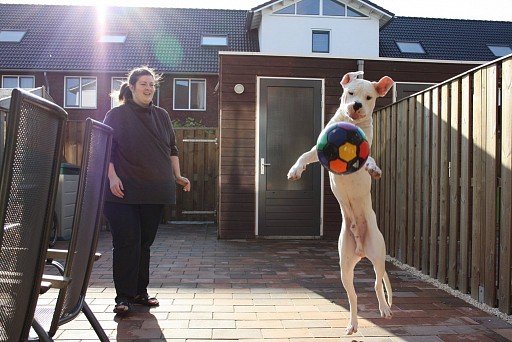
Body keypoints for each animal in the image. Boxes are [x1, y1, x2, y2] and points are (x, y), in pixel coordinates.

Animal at [288, 71, 396, 336]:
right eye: (350, 93)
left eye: (368, 97)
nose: (356, 105)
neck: (352, 125)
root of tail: (361, 250)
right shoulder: (318, 150)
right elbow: (304, 155)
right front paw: (295, 170)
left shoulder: (365, 152)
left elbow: (368, 159)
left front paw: (373, 168)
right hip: (344, 266)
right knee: (353, 296)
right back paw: (353, 324)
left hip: (378, 256)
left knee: (377, 285)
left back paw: (384, 309)